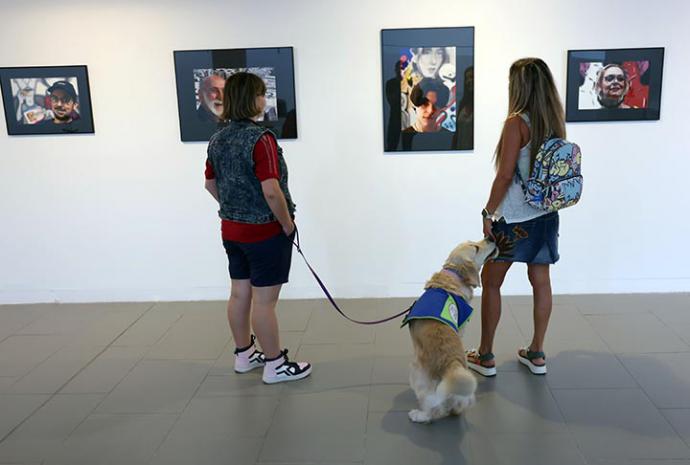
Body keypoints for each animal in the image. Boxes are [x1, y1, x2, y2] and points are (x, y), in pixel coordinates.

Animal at [404, 237, 494, 422]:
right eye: (475, 247)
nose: (490, 237)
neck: (453, 276)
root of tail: (452, 365)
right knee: (454, 407)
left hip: (415, 371)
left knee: (432, 411)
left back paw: (418, 415)